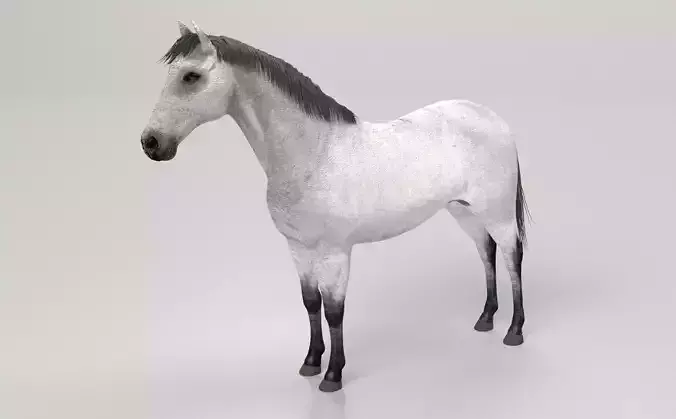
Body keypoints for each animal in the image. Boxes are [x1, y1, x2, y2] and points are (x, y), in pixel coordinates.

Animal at [140, 21, 532, 393]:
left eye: (191, 76)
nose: (151, 142)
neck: (314, 154)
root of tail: (491, 118)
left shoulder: (335, 253)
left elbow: (334, 312)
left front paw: (333, 375)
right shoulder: (298, 249)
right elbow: (310, 304)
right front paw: (311, 362)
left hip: (497, 213)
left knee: (511, 257)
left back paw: (514, 331)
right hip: (464, 211)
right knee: (486, 252)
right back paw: (485, 319)